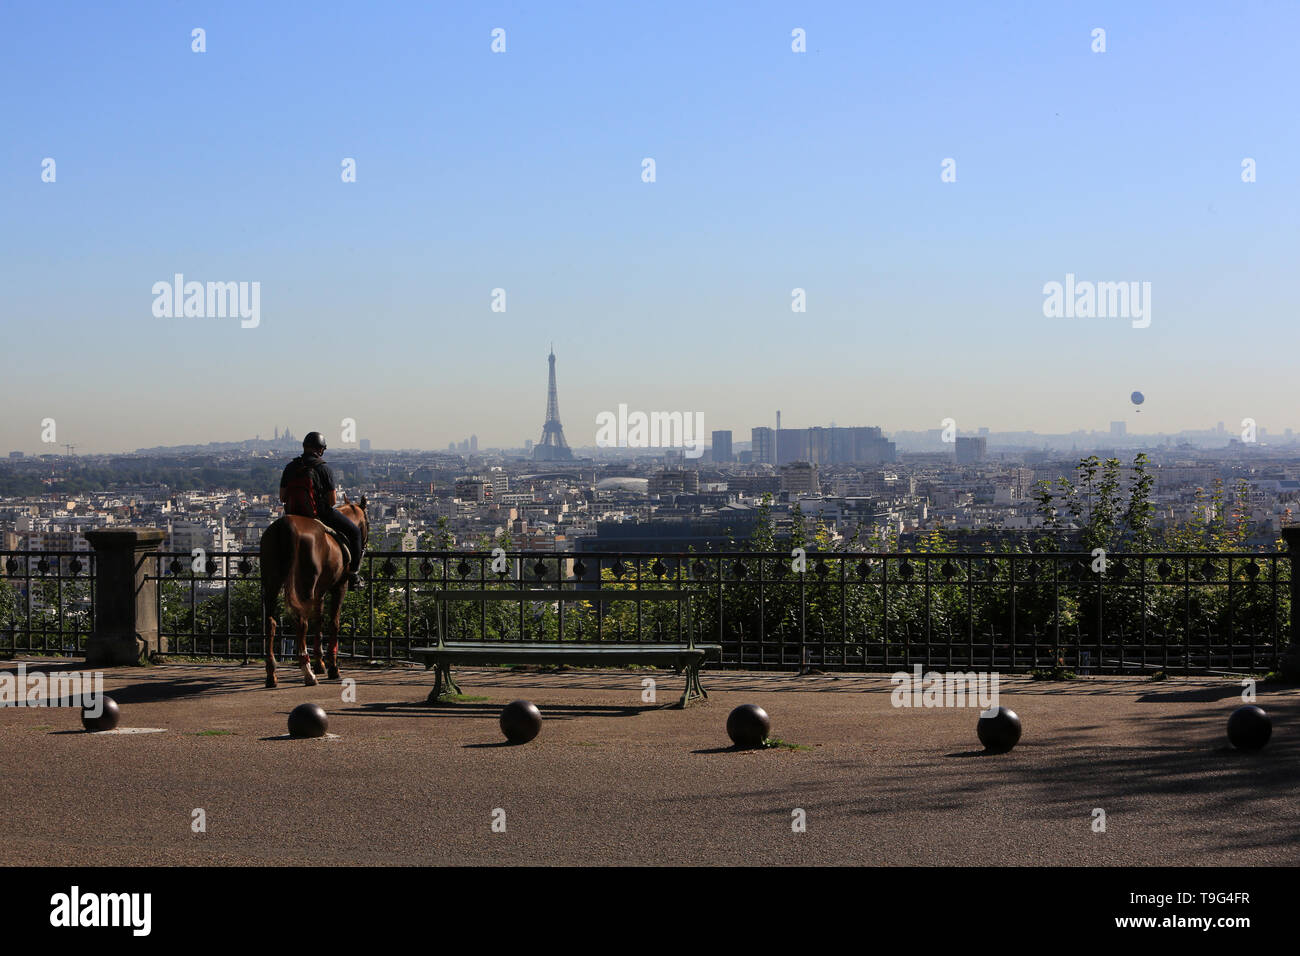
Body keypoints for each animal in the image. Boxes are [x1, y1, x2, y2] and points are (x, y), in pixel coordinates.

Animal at [260, 494, 369, 686]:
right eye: (368, 523)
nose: (365, 545)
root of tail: (285, 527)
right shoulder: (339, 586)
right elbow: (334, 622)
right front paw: (333, 668)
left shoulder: (320, 591)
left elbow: (319, 620)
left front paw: (320, 664)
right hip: (305, 583)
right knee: (301, 621)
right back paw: (307, 672)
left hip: (271, 581)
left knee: (271, 622)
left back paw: (272, 674)